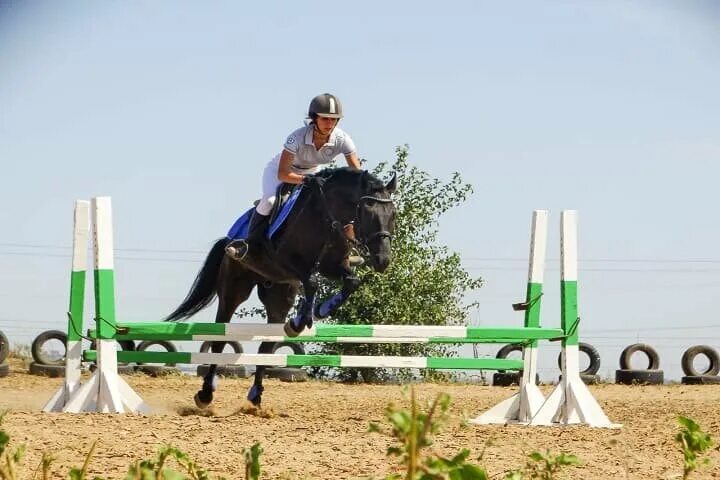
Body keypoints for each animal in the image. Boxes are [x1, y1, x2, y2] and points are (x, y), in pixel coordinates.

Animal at [165, 167, 396, 406]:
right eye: (368, 214)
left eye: (393, 215)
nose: (383, 260)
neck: (327, 215)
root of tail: (230, 239)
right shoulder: (286, 260)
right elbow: (312, 282)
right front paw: (302, 321)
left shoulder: (332, 266)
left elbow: (351, 281)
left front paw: (314, 314)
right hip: (234, 289)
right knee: (220, 340)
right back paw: (205, 394)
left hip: (279, 293)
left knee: (266, 346)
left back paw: (255, 394)